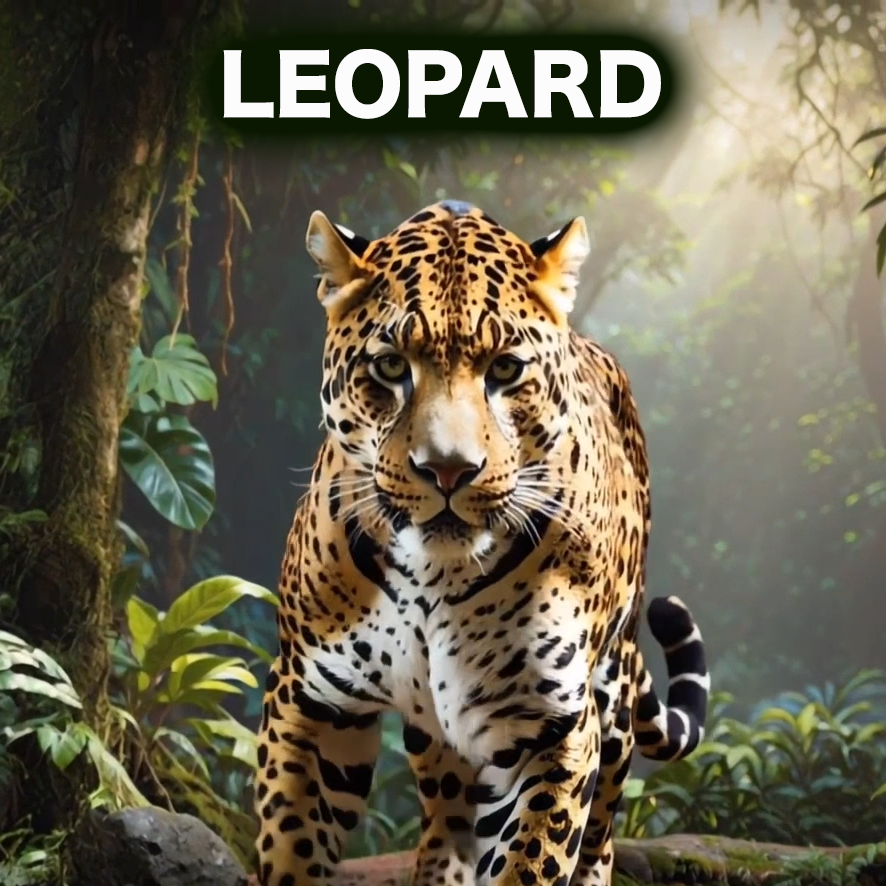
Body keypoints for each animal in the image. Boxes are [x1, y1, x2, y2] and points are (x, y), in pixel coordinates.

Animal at [254, 200, 710, 886]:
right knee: (447, 814)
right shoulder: (311, 700)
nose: (448, 469)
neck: (431, 574)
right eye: (391, 365)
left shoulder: (554, 725)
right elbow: (291, 849)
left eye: (505, 369)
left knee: (599, 831)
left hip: (611, 694)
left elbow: (533, 859)